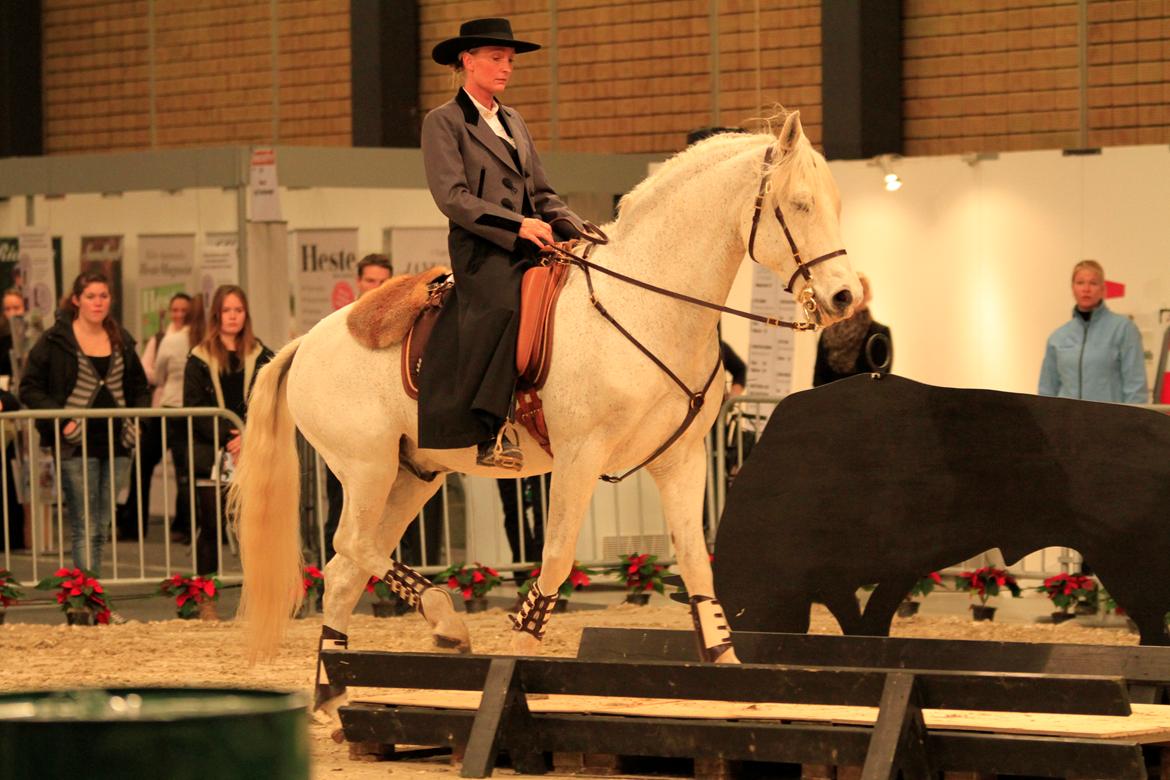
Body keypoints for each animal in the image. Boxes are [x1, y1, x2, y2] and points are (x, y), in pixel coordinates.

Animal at [232, 111, 865, 715]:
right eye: (798, 204)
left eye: (835, 204)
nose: (844, 297)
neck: (646, 303)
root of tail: (307, 340)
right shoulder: (580, 459)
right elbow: (557, 560)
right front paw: (514, 662)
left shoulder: (680, 462)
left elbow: (697, 565)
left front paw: (731, 676)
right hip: (367, 470)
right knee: (349, 547)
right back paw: (442, 618)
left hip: (414, 476)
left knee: (345, 570)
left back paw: (334, 690)